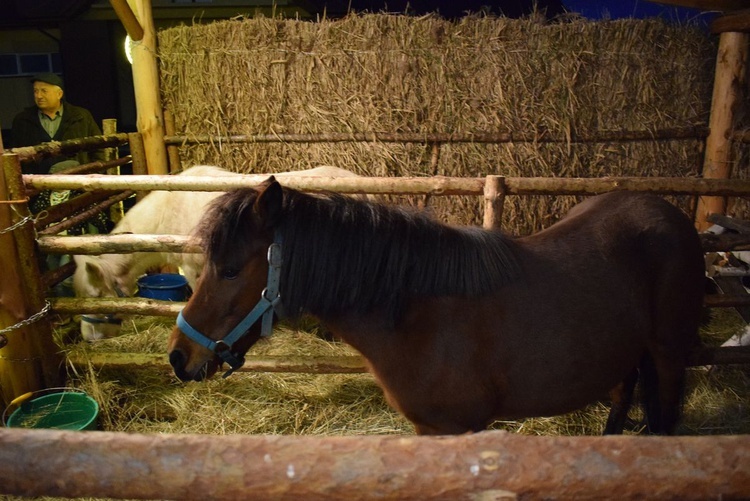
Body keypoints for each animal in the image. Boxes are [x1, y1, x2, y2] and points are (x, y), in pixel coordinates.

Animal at [167, 179, 708, 434]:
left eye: (230, 269)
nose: (177, 357)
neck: (417, 314)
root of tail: (667, 211)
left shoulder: (451, 429)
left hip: (668, 355)